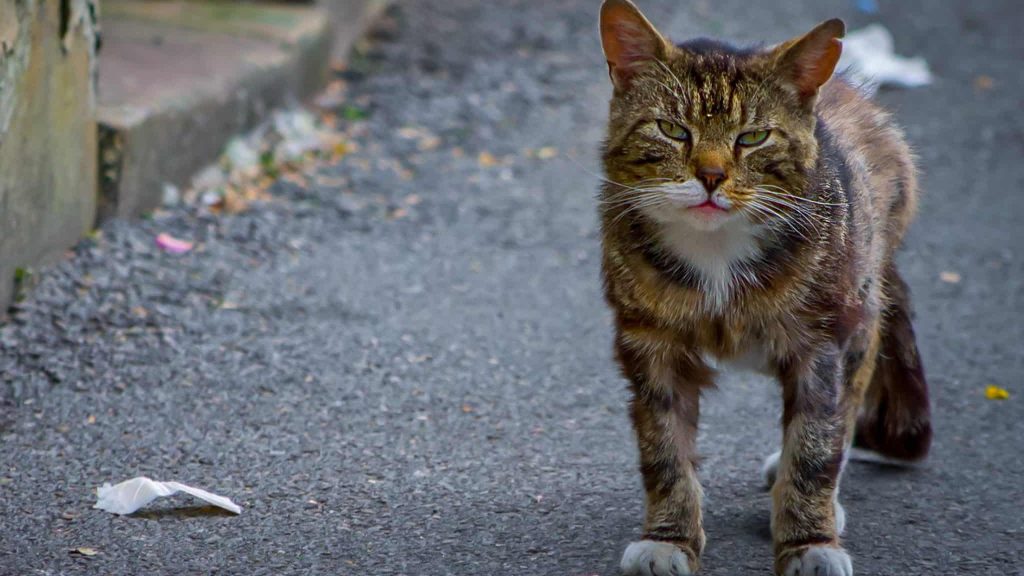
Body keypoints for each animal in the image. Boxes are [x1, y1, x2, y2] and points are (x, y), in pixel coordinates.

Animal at [598, 2, 933, 569]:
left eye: (753, 137)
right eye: (671, 129)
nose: (711, 176)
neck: (716, 255)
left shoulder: (823, 340)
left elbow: (815, 443)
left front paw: (809, 541)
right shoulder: (649, 342)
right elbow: (664, 447)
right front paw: (668, 538)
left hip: (861, 298)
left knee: (846, 397)